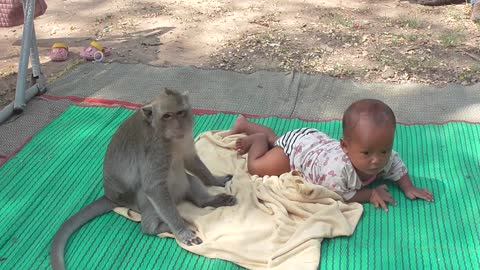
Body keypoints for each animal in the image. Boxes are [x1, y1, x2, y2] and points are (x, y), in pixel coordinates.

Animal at [49, 87, 235, 268]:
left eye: (180, 112)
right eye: (167, 116)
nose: (178, 126)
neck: (168, 137)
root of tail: (109, 196)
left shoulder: (186, 137)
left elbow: (190, 160)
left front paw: (216, 180)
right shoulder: (156, 149)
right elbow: (153, 187)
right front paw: (182, 232)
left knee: (188, 179)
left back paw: (208, 201)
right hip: (137, 202)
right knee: (148, 196)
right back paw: (157, 227)